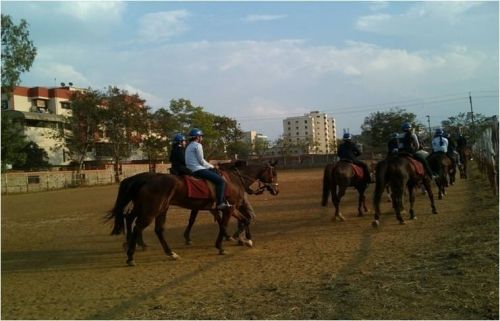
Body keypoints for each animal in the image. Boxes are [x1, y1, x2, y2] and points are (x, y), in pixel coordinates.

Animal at [106, 159, 280, 264]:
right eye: (274, 173)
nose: (276, 191)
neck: (233, 180)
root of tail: (144, 178)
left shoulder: (228, 208)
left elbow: (243, 220)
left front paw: (244, 240)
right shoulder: (228, 208)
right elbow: (224, 224)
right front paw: (222, 245)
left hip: (158, 209)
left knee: (150, 226)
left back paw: (169, 252)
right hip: (151, 210)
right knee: (137, 226)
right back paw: (131, 255)